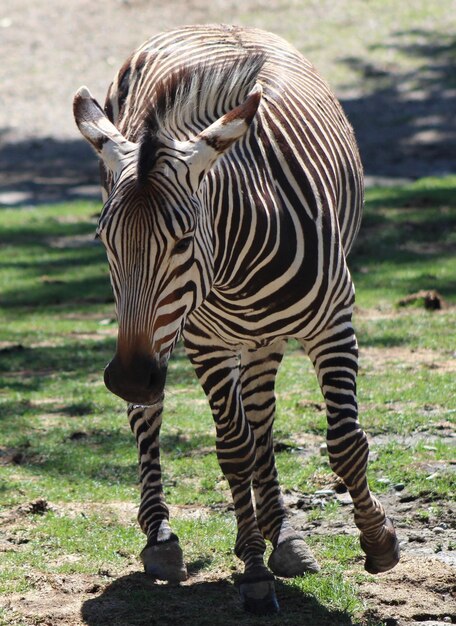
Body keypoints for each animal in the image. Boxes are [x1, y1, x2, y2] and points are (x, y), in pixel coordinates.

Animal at [74, 25, 400, 616]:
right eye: (104, 239)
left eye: (183, 239)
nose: (129, 375)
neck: (235, 266)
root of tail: (205, 26)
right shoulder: (204, 342)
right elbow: (233, 451)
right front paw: (251, 571)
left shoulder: (334, 323)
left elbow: (344, 441)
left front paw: (378, 540)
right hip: (183, 337)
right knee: (149, 417)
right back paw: (161, 538)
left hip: (259, 337)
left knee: (264, 417)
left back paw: (285, 536)